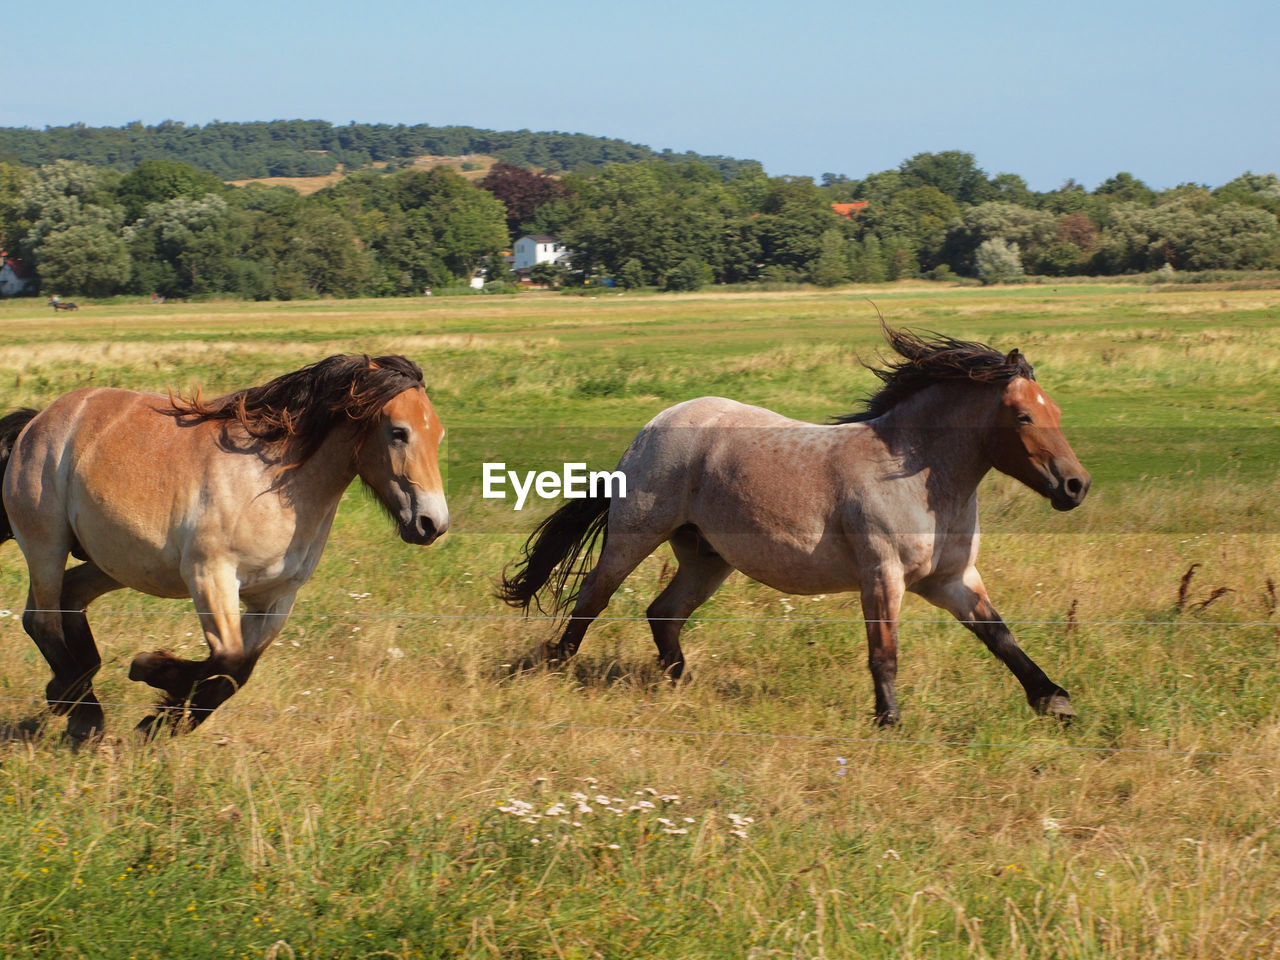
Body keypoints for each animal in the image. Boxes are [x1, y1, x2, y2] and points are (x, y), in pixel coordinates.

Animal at [0, 358, 450, 742]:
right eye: (399, 432)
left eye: (438, 434)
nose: (432, 524)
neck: (270, 484)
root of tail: (37, 422)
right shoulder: (211, 576)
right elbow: (229, 657)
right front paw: (150, 672)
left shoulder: (276, 599)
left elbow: (238, 672)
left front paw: (159, 721)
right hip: (47, 543)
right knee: (43, 620)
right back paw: (85, 714)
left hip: (112, 562)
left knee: (68, 600)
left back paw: (67, 692)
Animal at [499, 327, 1090, 727]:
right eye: (1023, 416)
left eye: (1057, 413)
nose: (1075, 486)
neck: (920, 477)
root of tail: (650, 429)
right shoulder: (883, 576)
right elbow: (885, 653)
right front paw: (889, 721)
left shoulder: (952, 580)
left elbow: (1001, 636)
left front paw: (1053, 699)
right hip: (635, 535)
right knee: (593, 597)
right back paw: (555, 667)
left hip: (707, 558)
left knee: (663, 613)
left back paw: (682, 684)